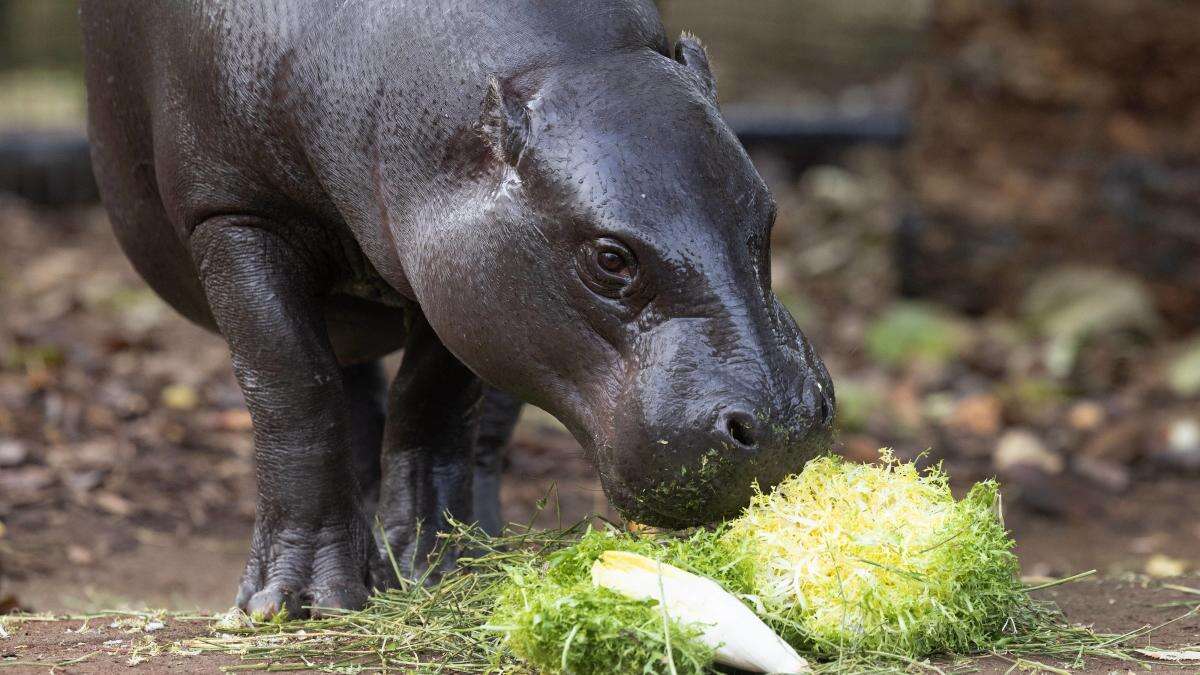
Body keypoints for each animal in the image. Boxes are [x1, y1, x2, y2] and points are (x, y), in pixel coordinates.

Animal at [82, 0, 835, 619]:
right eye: (611, 258)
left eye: (767, 216)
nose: (785, 423)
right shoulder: (235, 213)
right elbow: (295, 388)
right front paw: (294, 602)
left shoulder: (464, 281)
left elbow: (433, 403)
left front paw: (436, 571)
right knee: (340, 393)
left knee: (473, 429)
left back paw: (476, 549)